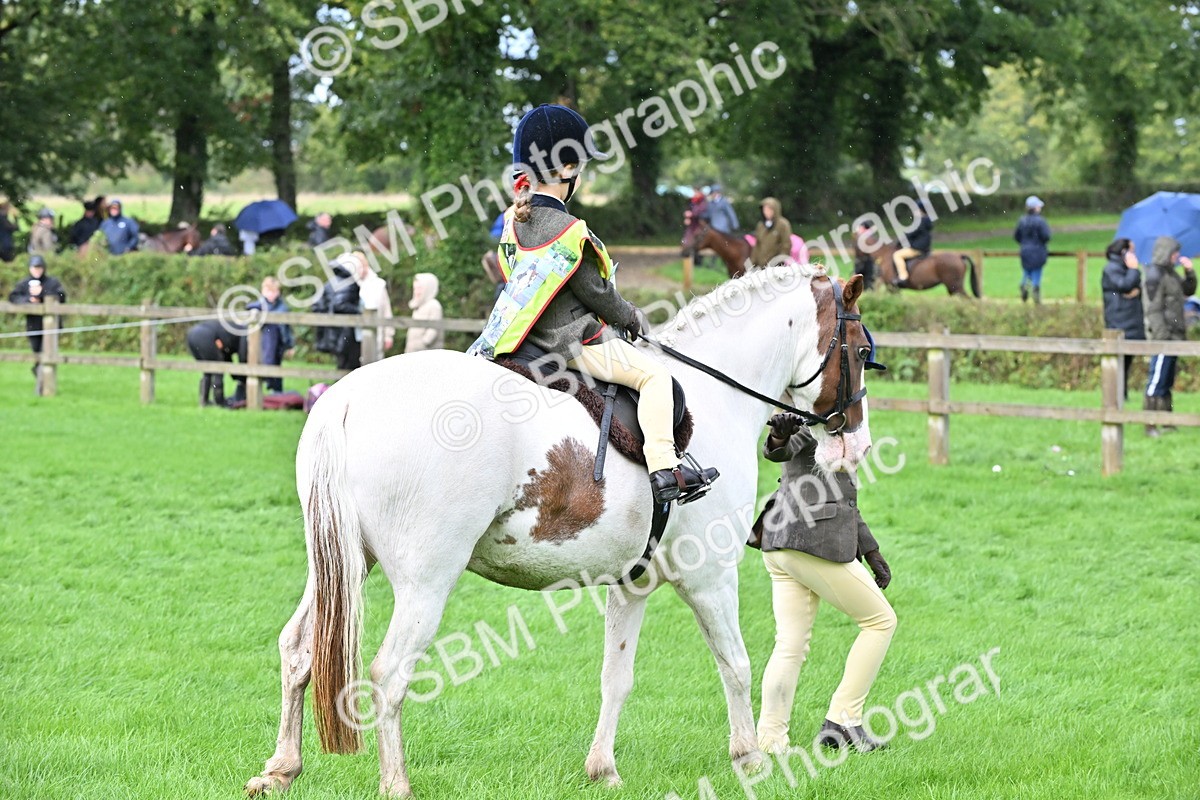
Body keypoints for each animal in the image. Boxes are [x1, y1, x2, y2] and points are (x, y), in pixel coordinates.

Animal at [243, 267, 877, 798]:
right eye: (863, 351)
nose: (856, 446)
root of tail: (348, 398)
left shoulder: (633, 585)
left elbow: (616, 677)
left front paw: (604, 769)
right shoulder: (710, 578)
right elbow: (737, 664)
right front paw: (749, 759)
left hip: (343, 566)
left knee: (298, 650)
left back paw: (281, 769)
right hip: (426, 583)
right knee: (390, 673)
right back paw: (395, 784)